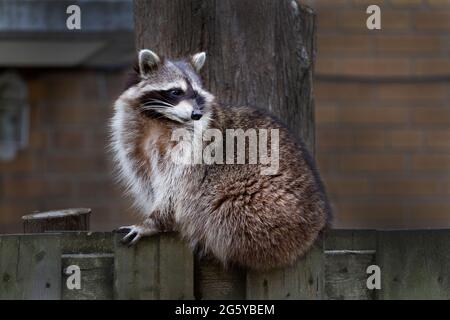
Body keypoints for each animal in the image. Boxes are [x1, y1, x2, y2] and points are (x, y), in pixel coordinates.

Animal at [110, 49, 330, 270]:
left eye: (196, 93)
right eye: (176, 92)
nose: (196, 114)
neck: (158, 119)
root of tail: (319, 223)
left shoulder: (193, 149)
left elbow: (176, 188)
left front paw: (154, 222)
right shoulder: (133, 142)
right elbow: (147, 181)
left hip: (266, 210)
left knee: (223, 215)